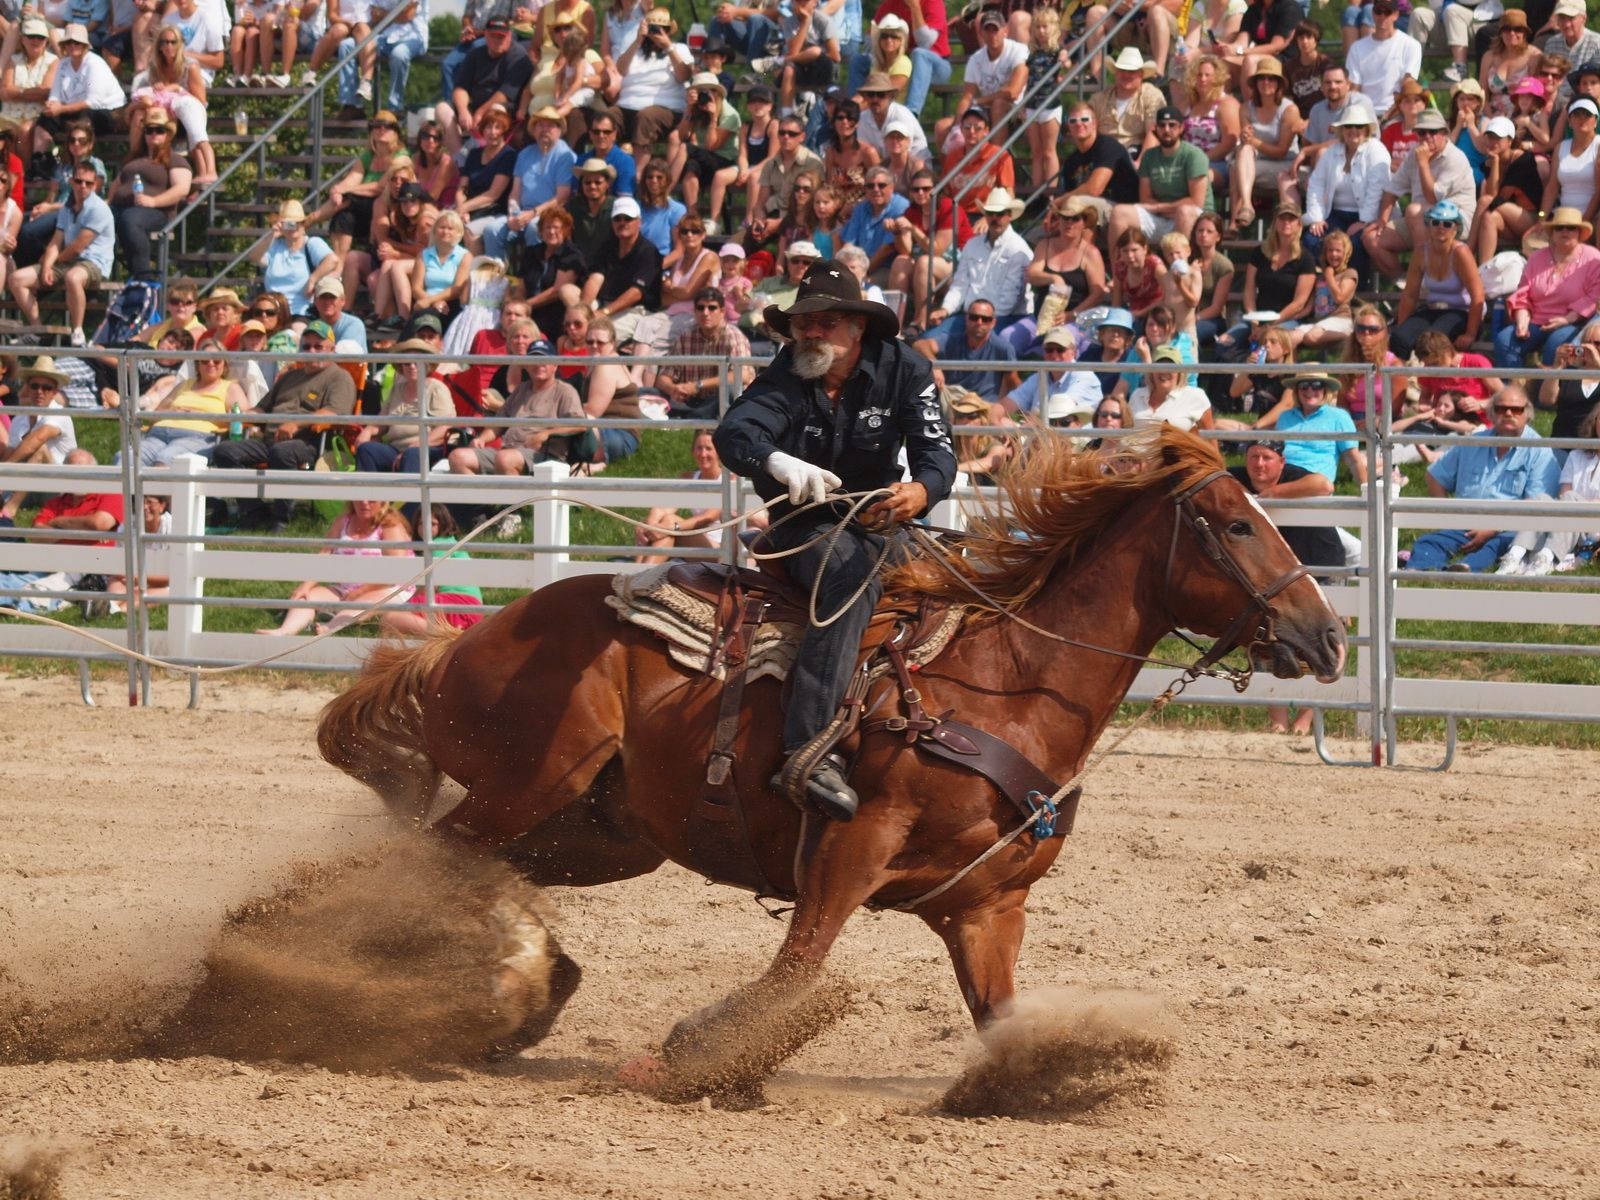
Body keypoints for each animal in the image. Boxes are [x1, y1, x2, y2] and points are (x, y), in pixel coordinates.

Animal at [317, 426, 1346, 1099]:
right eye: (1237, 526)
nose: (1329, 637)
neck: (1002, 686)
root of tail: (473, 635)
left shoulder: (988, 907)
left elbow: (997, 1017)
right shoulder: (850, 851)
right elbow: (795, 974)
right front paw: (688, 1059)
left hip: (600, 832)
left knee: (471, 873)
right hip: (525, 785)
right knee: (427, 864)